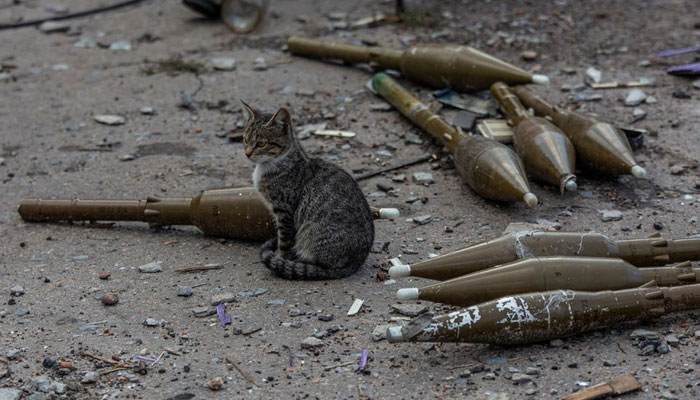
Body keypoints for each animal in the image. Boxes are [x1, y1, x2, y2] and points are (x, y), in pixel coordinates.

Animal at [241, 101, 374, 280]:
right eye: (245, 140)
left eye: (261, 144)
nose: (247, 153)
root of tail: (353, 264)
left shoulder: (285, 212)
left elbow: (284, 243)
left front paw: (281, 260)